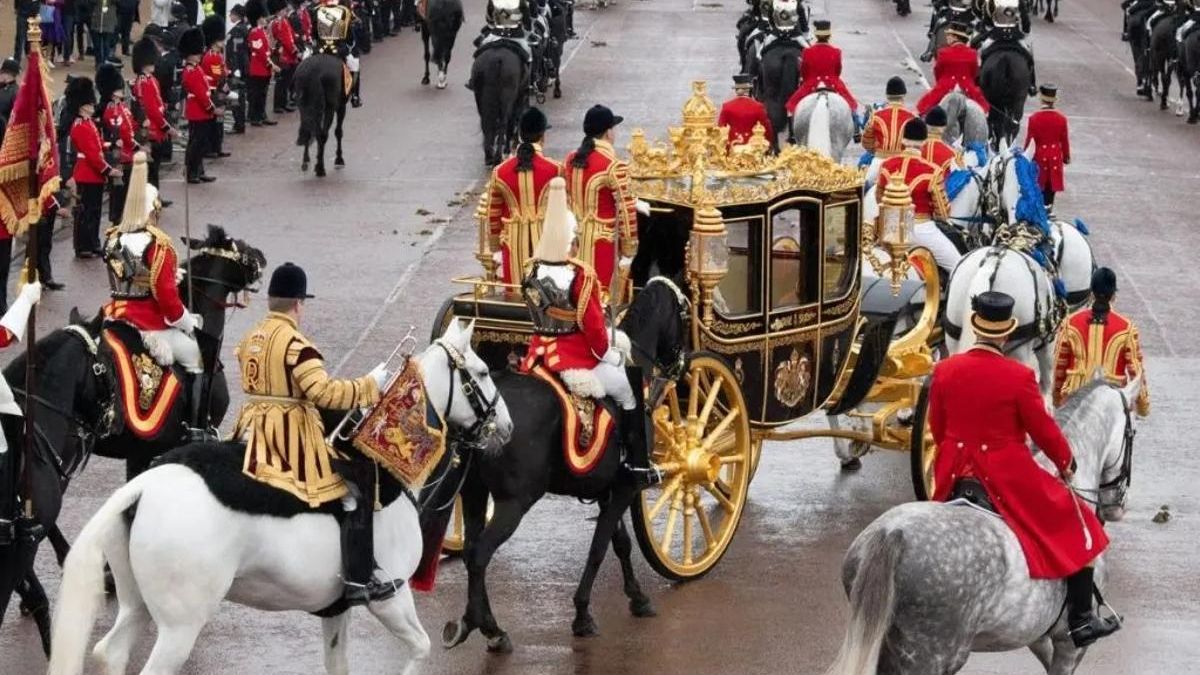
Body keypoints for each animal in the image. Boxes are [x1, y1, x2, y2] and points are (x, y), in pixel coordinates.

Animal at [48, 317, 511, 672]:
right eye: (483, 373)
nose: (506, 427)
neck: (386, 471)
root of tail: (143, 485)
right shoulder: (392, 599)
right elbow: (421, 648)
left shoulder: (336, 611)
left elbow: (338, 664)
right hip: (180, 628)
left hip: (138, 607)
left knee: (110, 652)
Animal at [825, 374, 1142, 667]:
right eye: (1133, 432)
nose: (1117, 505)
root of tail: (892, 534)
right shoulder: (1069, 646)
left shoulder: (1037, 637)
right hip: (933, 654)